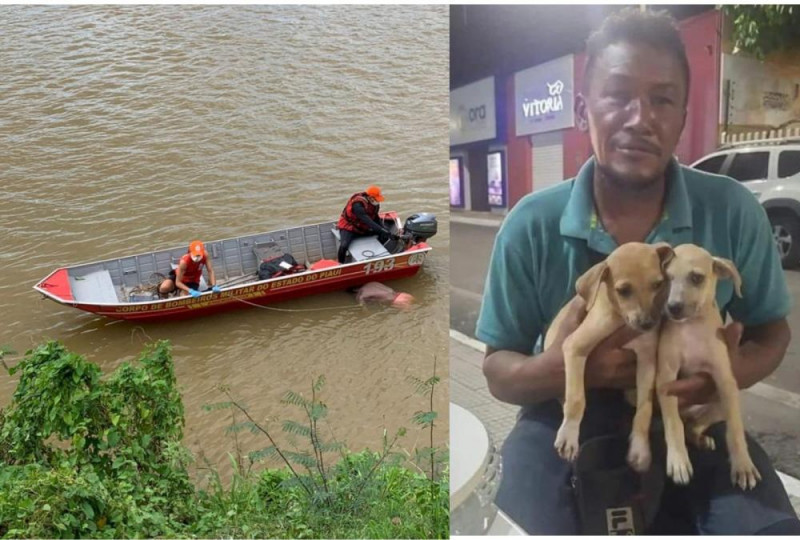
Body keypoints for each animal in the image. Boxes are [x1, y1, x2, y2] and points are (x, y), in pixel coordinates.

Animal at [548, 243, 672, 470]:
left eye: (657, 284)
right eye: (623, 290)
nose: (648, 324)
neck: (621, 321)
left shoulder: (647, 361)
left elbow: (644, 410)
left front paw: (640, 448)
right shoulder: (575, 346)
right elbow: (576, 399)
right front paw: (569, 435)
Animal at [656, 245, 764, 490]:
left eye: (696, 278)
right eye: (667, 278)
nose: (672, 308)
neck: (691, 328)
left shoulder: (725, 380)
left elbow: (735, 429)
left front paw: (743, 465)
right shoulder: (666, 379)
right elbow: (673, 424)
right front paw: (678, 460)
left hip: (719, 405)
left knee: (694, 426)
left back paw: (702, 439)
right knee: (682, 423)